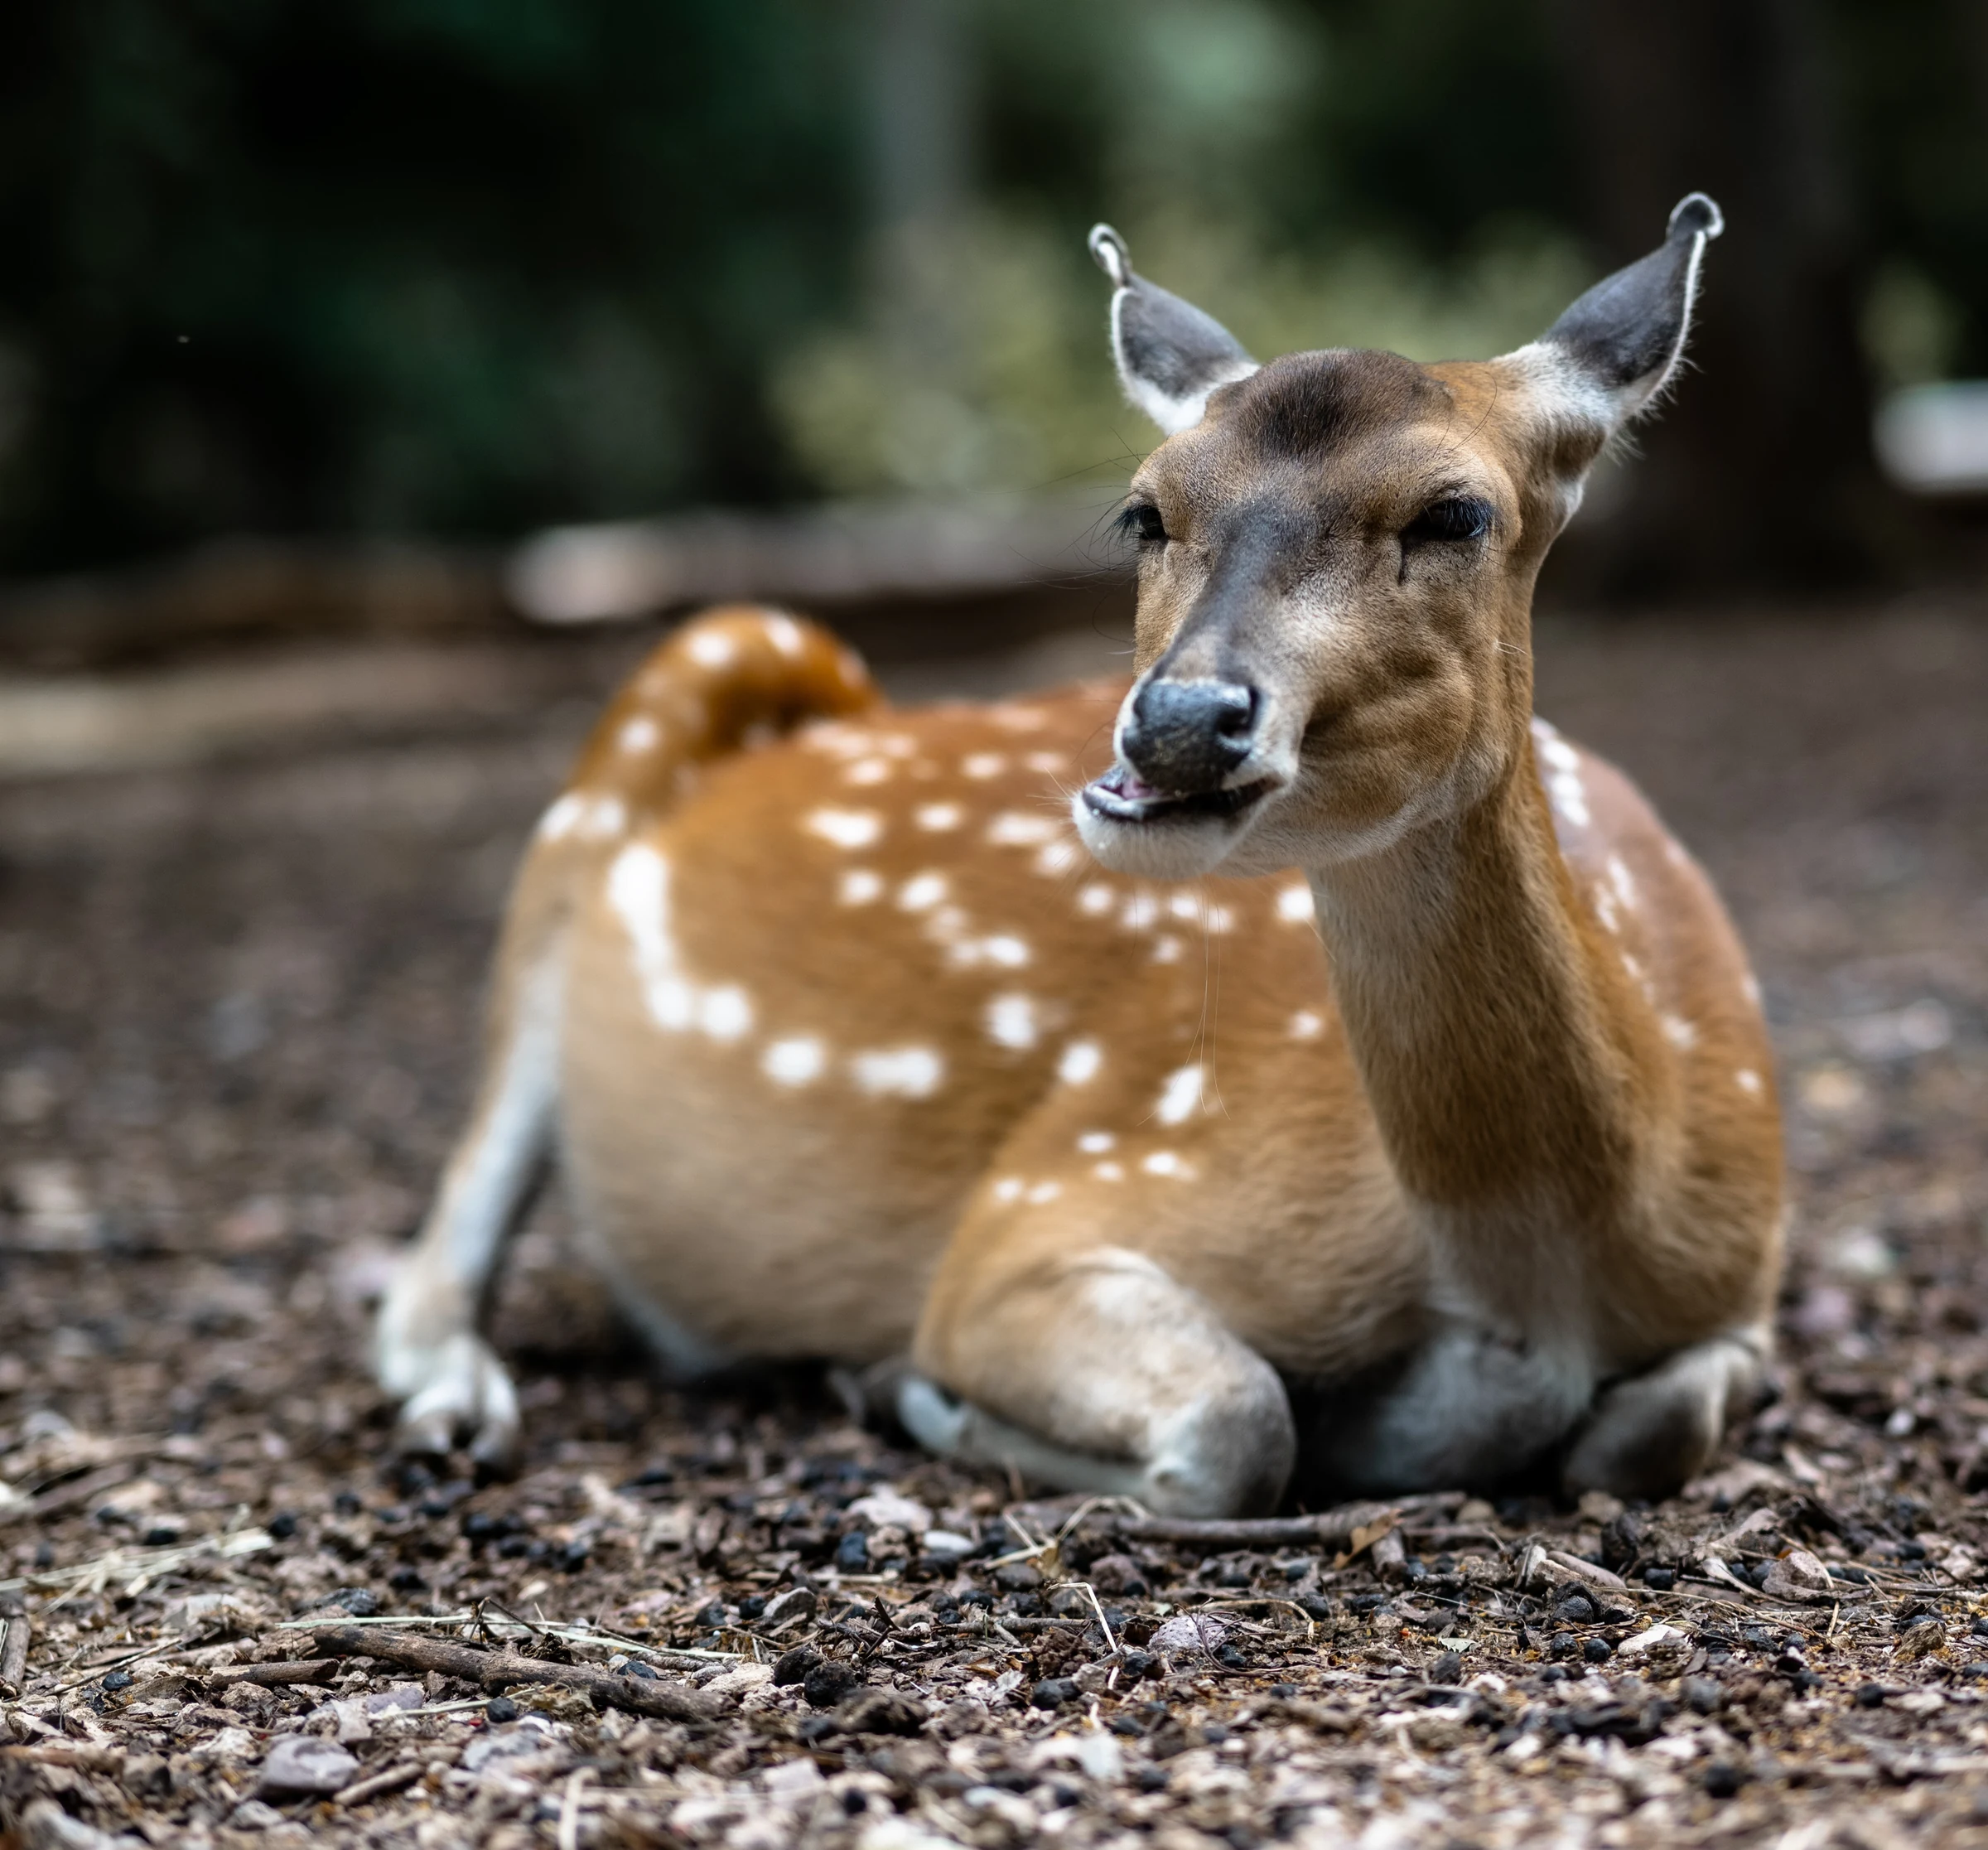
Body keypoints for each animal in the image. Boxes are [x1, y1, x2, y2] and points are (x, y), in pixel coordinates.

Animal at [375, 193, 1783, 1517]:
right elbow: (1237, 1420)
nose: (1178, 722)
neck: (1544, 1260)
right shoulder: (1049, 1210)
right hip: (653, 722)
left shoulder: (1747, 1284)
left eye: (1455, 513)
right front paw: (907, 1387)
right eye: (1143, 512)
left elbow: (1657, 1421)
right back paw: (457, 1402)